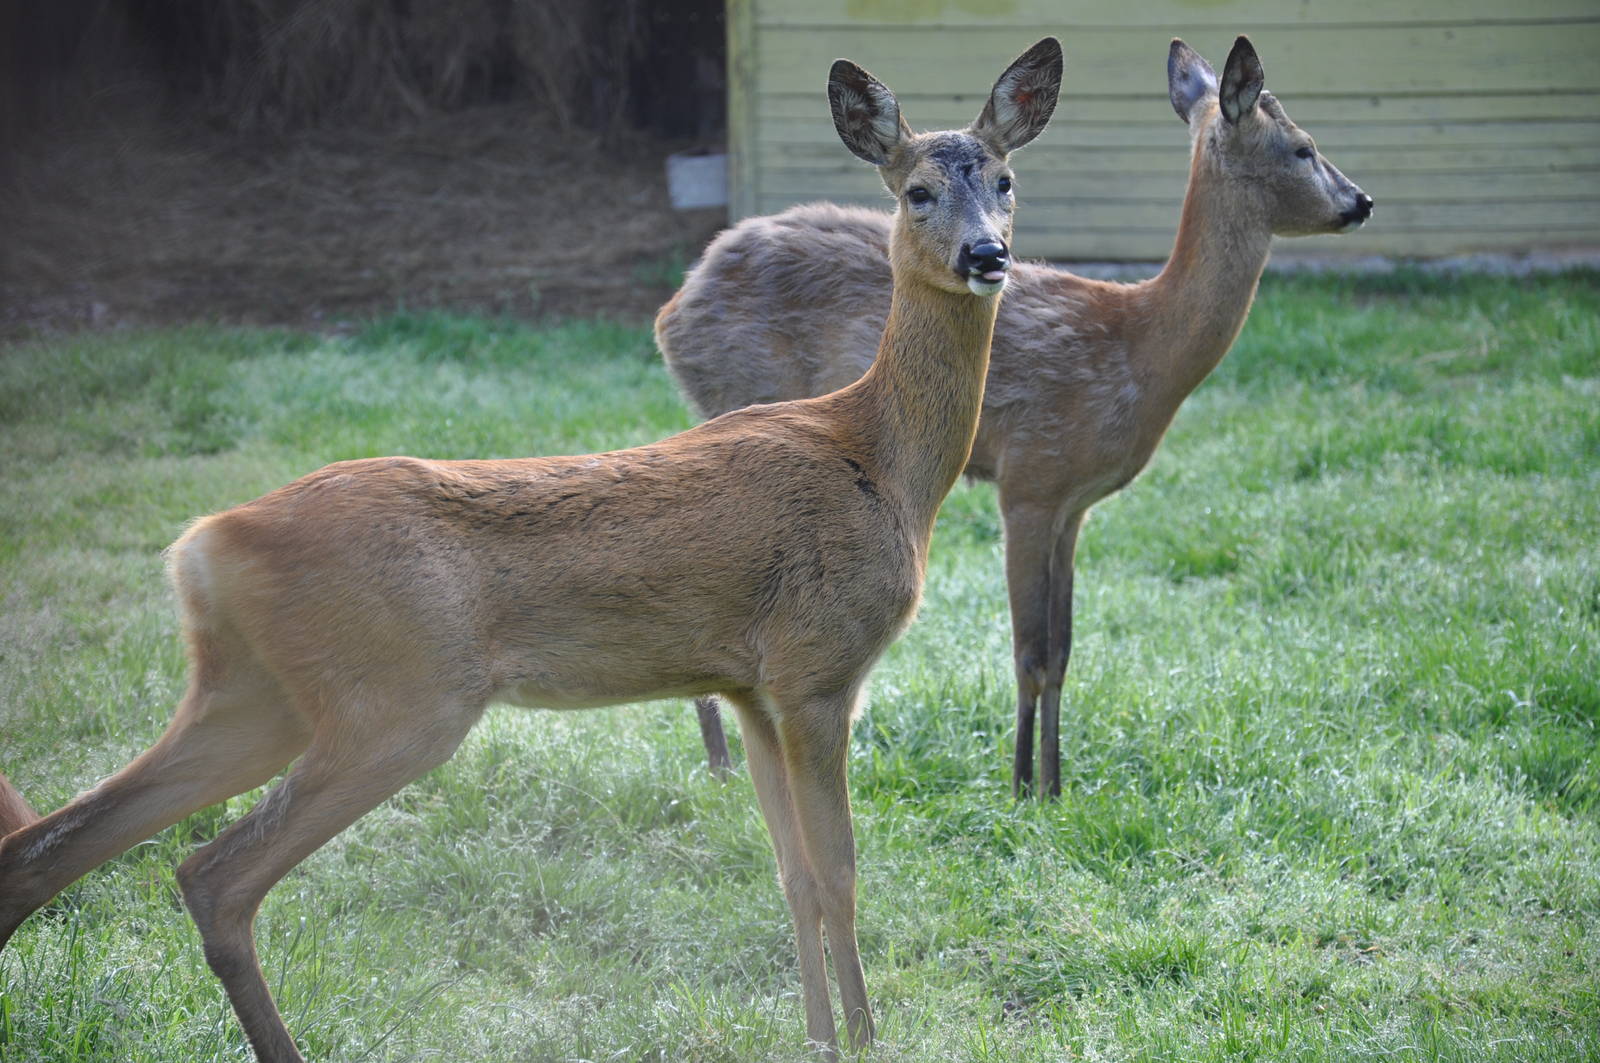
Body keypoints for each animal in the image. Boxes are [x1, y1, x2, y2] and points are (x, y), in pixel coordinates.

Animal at [0, 39, 1063, 1061]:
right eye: (915, 189)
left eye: (1007, 181)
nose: (987, 253)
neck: (882, 457)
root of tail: (204, 546)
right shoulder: (817, 666)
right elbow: (840, 874)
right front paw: (869, 1039)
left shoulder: (748, 686)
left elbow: (793, 875)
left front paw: (816, 1039)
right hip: (398, 700)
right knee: (213, 874)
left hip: (256, 695)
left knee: (57, 846)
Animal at [659, 36, 1373, 798]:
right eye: (1303, 147)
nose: (1360, 201)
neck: (1139, 349)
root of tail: (674, 309)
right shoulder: (1031, 477)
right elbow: (1028, 649)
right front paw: (1023, 785)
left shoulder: (1074, 502)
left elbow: (1061, 649)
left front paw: (1056, 783)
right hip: (739, 397)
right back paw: (722, 767)